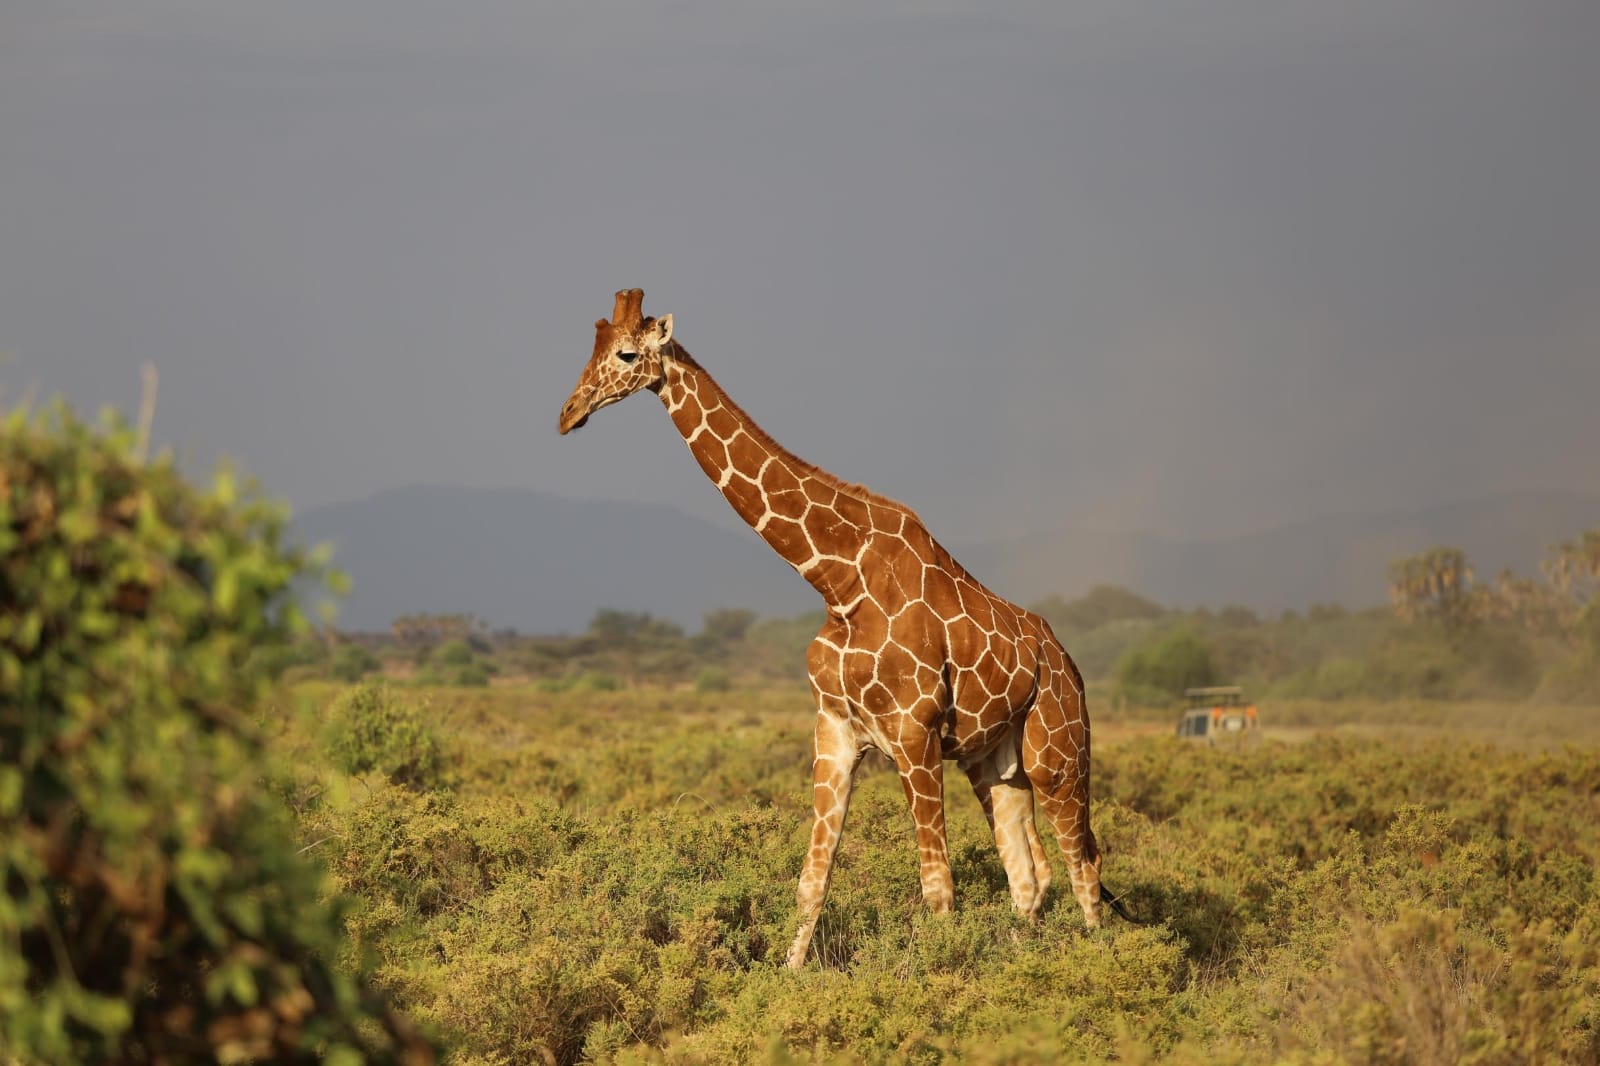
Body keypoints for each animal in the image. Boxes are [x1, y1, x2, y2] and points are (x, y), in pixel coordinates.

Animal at [556, 288, 1107, 960]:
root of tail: (1067, 663)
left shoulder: (915, 734)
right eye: (592, 348)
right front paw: (788, 975)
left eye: (627, 354)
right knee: (1028, 876)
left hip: (1059, 753)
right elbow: (811, 880)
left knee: (1084, 868)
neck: (837, 582)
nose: (568, 413)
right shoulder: (836, 729)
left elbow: (938, 888)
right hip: (996, 761)